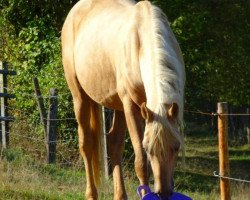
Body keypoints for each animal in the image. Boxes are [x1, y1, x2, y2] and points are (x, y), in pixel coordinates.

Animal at [61, 0, 185, 199]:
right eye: (149, 148)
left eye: (176, 147)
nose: (164, 193)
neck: (141, 45)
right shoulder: (131, 106)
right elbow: (141, 163)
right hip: (80, 97)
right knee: (86, 144)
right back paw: (91, 194)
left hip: (118, 106)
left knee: (113, 144)